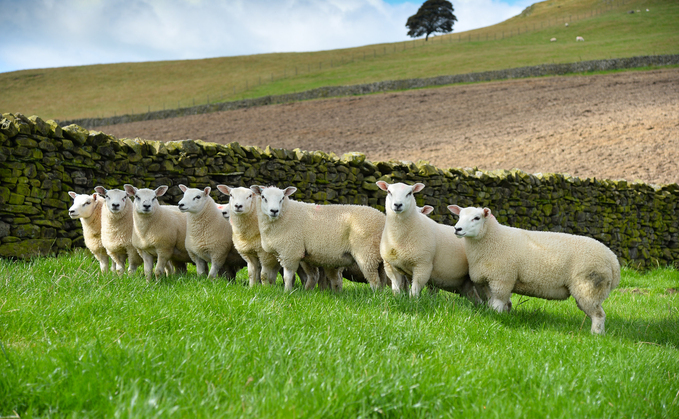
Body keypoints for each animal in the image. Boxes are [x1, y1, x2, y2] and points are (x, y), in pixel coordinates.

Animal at [250, 185, 385, 292]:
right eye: (263, 197)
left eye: (282, 198)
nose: (274, 211)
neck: (286, 214)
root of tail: (382, 217)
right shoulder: (287, 254)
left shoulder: (290, 252)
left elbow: (287, 276)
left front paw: (287, 292)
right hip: (378, 256)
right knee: (382, 277)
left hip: (367, 253)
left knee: (374, 279)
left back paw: (375, 296)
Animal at [448, 205, 621, 335]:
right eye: (459, 216)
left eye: (477, 218)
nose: (457, 229)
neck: (492, 239)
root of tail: (614, 261)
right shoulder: (488, 281)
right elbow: (496, 303)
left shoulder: (502, 279)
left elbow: (497, 304)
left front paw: (497, 319)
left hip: (590, 285)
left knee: (599, 315)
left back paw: (595, 335)